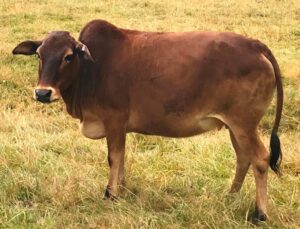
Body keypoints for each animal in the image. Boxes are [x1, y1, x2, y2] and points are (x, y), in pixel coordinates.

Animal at [12, 19, 284, 222]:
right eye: (39, 54)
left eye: (68, 56)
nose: (42, 93)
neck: (91, 70)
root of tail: (256, 45)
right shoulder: (120, 127)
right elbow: (121, 158)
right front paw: (121, 189)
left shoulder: (114, 120)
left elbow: (114, 158)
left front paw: (110, 194)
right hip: (235, 127)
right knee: (243, 158)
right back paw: (230, 195)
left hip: (244, 124)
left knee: (260, 158)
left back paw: (260, 213)